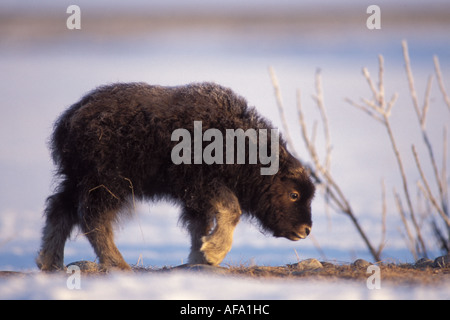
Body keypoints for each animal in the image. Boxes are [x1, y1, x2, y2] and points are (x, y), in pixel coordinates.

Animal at [37, 82, 314, 270]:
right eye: (294, 194)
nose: (306, 230)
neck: (241, 147)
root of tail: (70, 119)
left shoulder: (195, 198)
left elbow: (199, 226)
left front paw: (200, 257)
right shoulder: (201, 182)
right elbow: (231, 210)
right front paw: (213, 253)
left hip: (78, 180)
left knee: (60, 208)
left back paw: (49, 262)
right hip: (107, 184)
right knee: (93, 218)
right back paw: (117, 263)